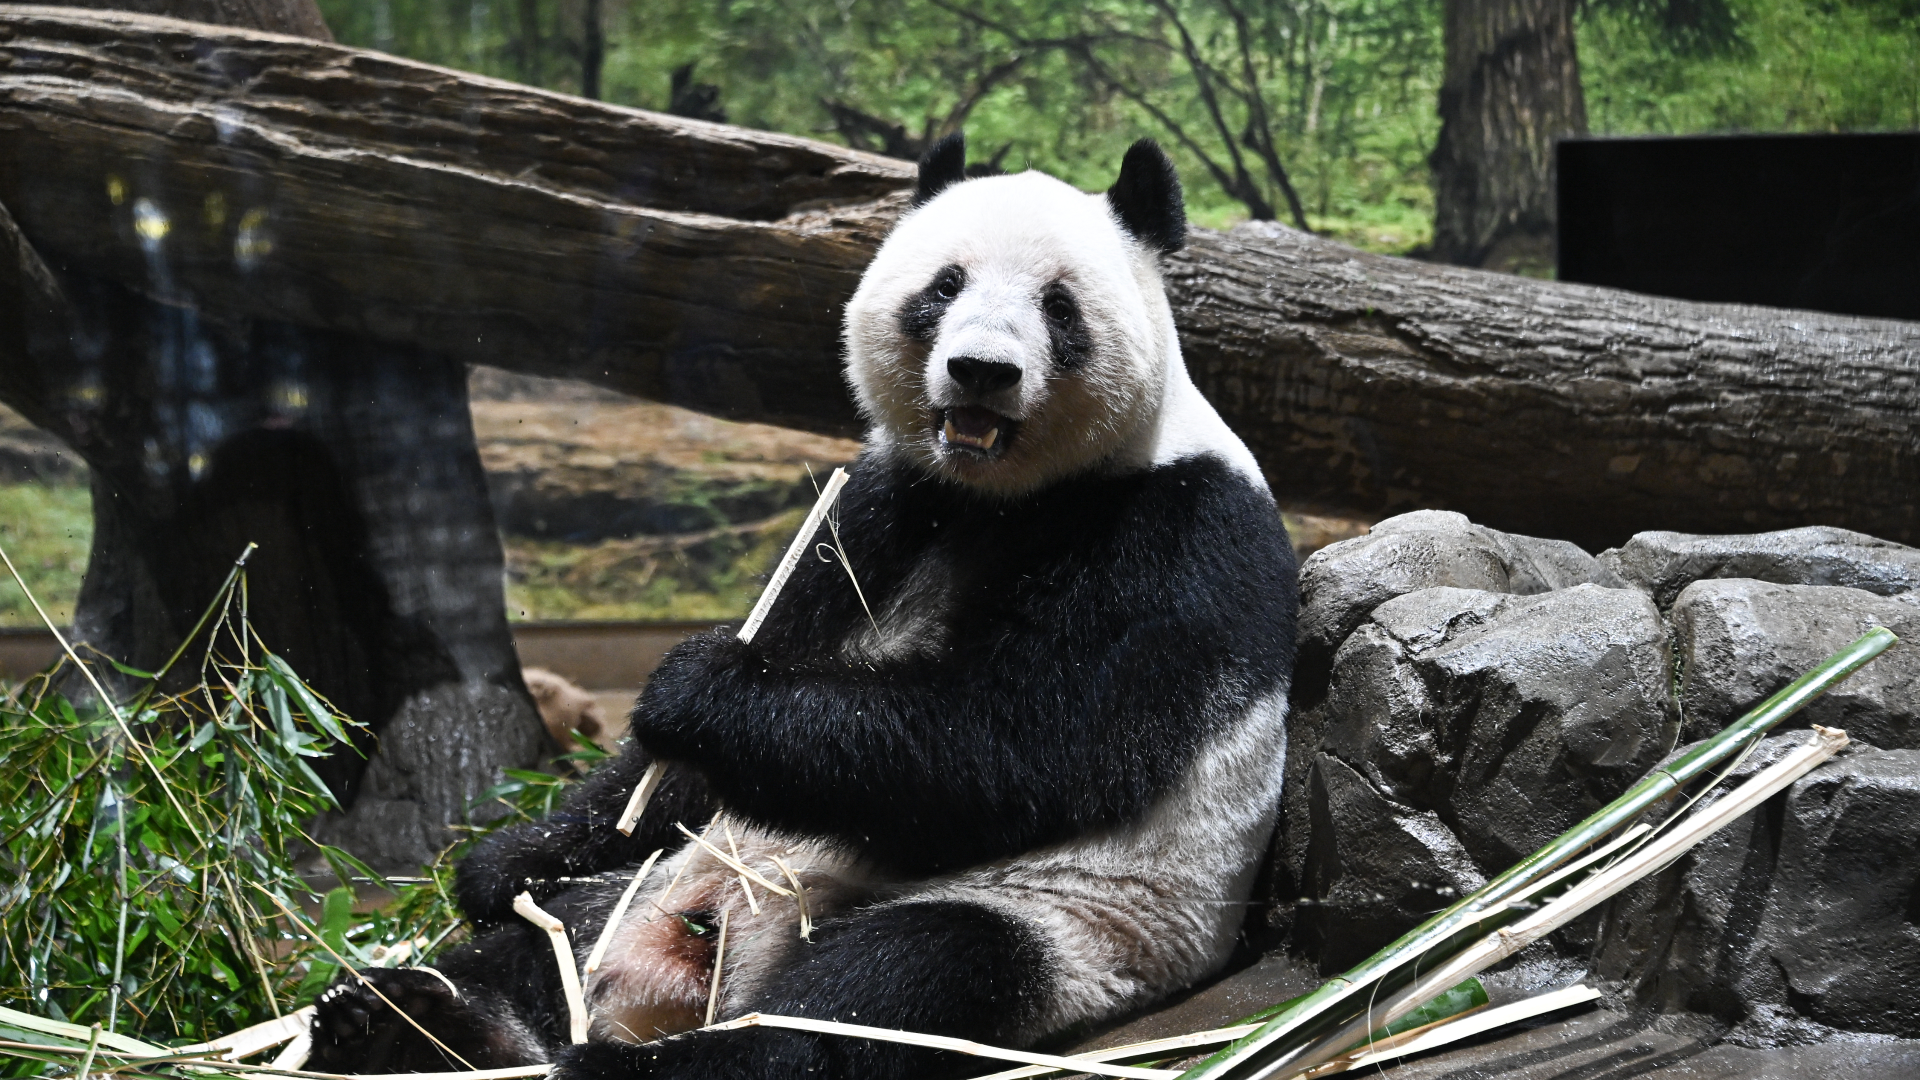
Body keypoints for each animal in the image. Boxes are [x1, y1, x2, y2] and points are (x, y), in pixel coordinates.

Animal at [308, 134, 1298, 1080]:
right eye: (945, 285)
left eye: (1060, 305)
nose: (981, 371)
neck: (999, 496)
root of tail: (690, 976)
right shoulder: (880, 507)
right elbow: (682, 768)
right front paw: (500, 864)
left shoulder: (1168, 533)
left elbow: (1022, 741)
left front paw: (698, 689)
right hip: (653, 884)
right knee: (543, 947)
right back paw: (411, 1024)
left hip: (1069, 922)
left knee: (891, 984)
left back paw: (648, 1063)